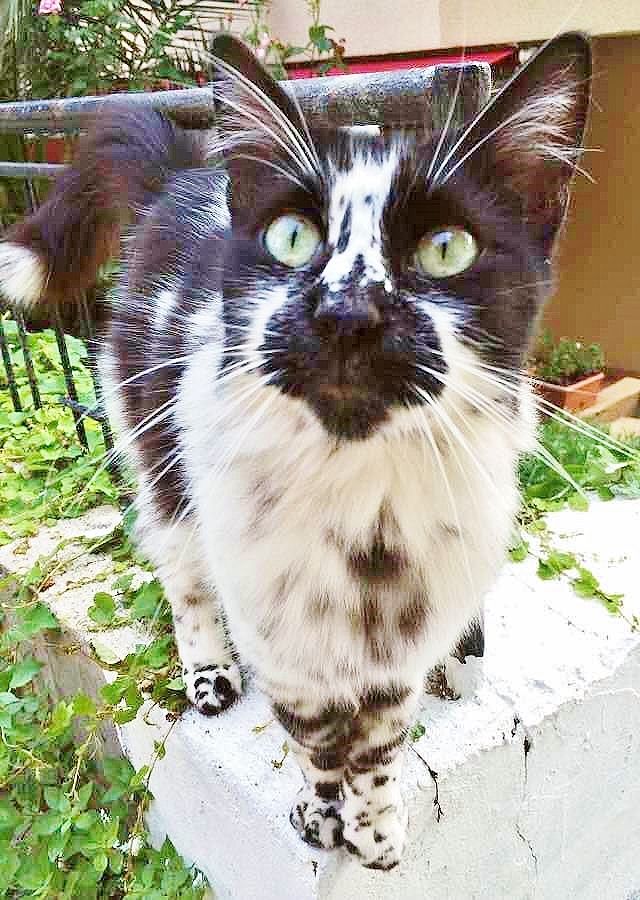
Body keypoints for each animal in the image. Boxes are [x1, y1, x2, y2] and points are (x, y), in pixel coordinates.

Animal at [0, 35, 592, 872]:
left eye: (446, 249)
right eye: (292, 237)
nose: (345, 313)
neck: (364, 508)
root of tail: (184, 175)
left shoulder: (397, 658)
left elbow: (378, 744)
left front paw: (374, 827)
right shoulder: (282, 643)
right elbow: (317, 744)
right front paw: (320, 816)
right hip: (158, 447)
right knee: (180, 568)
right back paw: (209, 671)